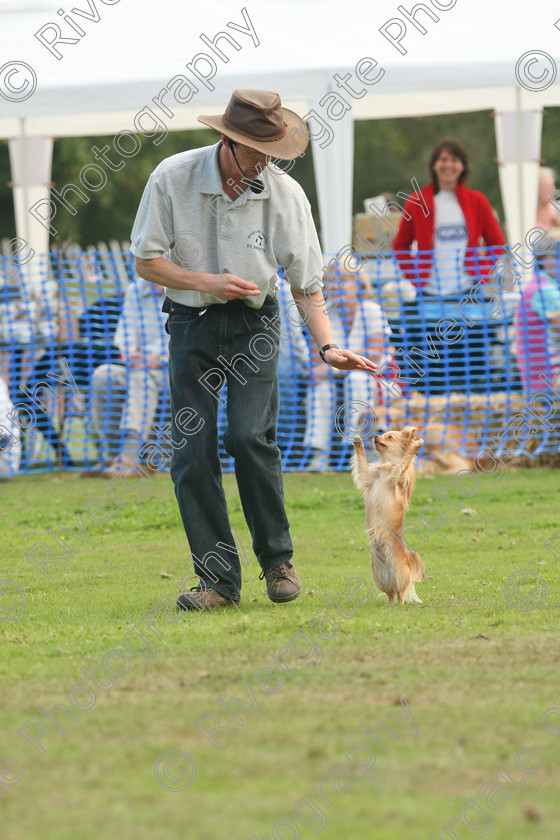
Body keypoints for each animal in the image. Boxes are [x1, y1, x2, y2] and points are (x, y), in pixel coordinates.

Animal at [352, 426, 426, 604]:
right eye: (382, 434)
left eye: (389, 437)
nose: (375, 436)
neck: (386, 465)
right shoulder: (367, 475)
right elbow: (362, 462)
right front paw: (358, 442)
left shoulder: (398, 473)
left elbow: (405, 459)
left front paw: (416, 445)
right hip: (379, 577)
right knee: (390, 593)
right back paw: (389, 605)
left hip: (399, 575)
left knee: (401, 593)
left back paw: (400, 604)